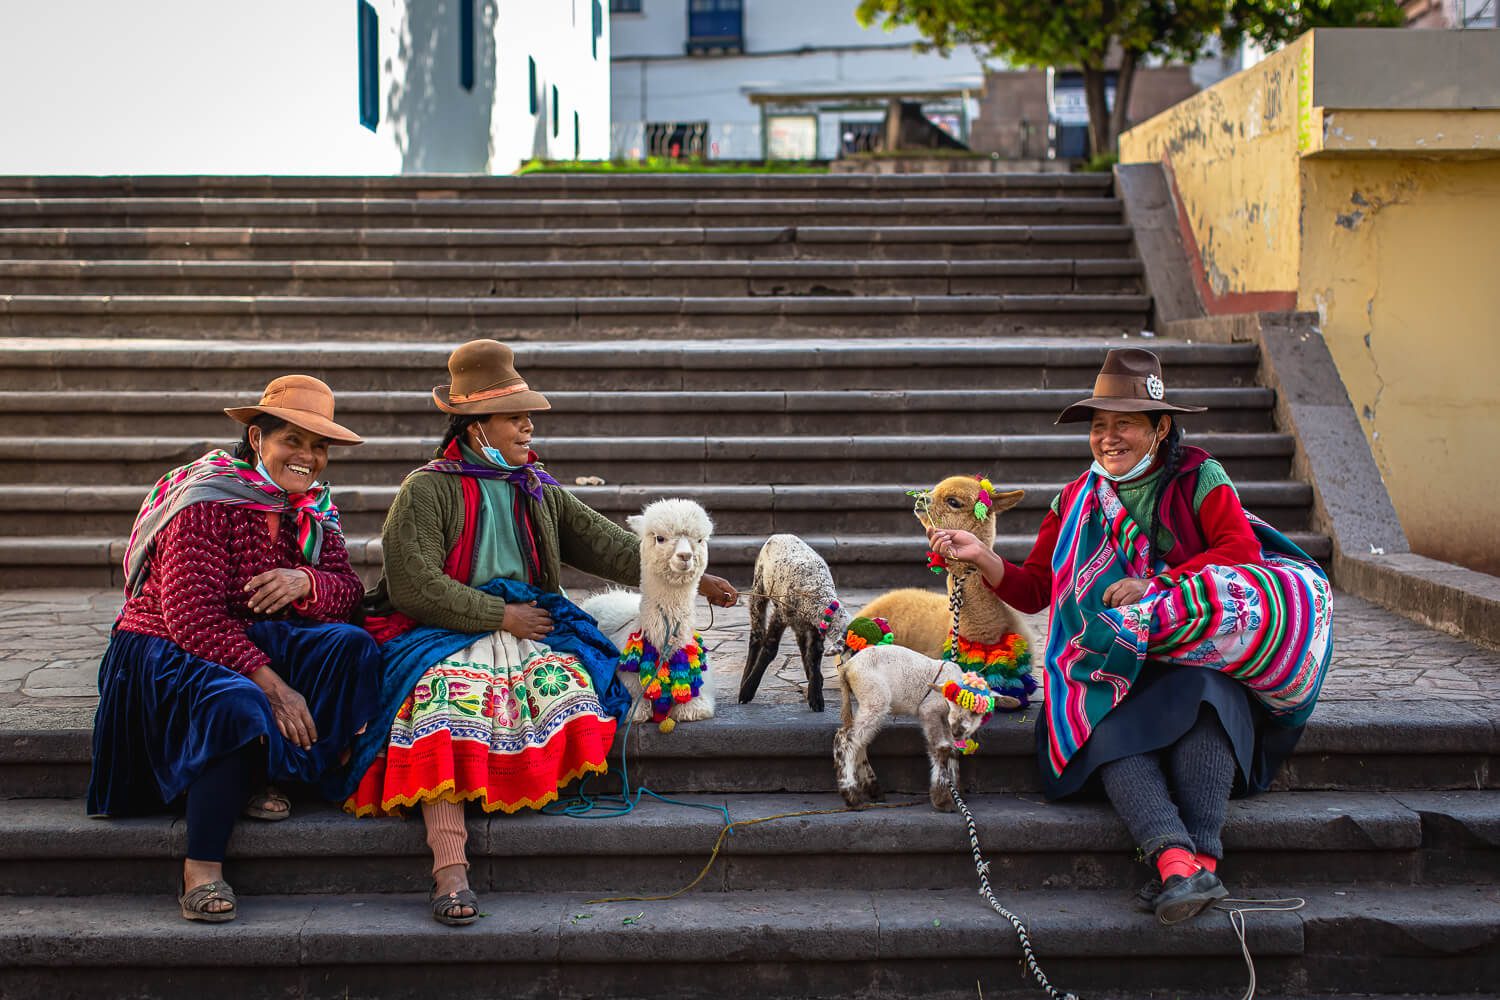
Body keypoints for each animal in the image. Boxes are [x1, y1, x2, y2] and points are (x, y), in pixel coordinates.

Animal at [579, 497, 714, 728]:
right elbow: (637, 711)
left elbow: (693, 709)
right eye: (660, 538)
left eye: (699, 539)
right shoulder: (628, 686)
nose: (685, 556)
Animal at [834, 617, 1020, 815]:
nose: (958, 731)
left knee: (859, 741)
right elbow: (942, 748)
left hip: (869, 701)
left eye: (976, 711)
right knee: (846, 739)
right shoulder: (929, 710)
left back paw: (873, 789)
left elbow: (953, 750)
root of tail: (848, 667)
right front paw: (943, 800)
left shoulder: (947, 722)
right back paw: (852, 796)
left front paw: (956, 790)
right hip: (874, 696)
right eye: (952, 701)